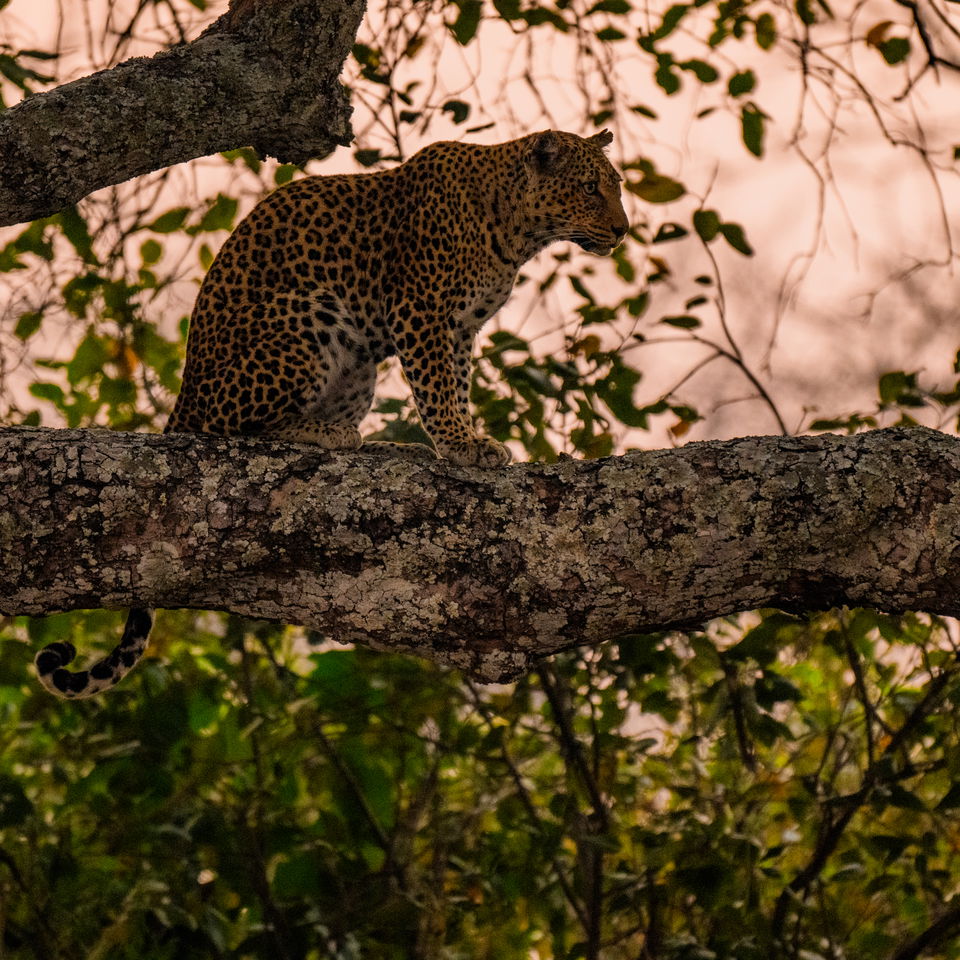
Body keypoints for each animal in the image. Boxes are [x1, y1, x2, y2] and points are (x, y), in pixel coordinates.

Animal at [35, 127, 632, 696]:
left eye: (616, 186)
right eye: (589, 188)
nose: (624, 230)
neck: (516, 229)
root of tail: (188, 389)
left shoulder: (460, 329)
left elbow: (454, 385)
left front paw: (459, 440)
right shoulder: (421, 311)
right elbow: (437, 388)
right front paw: (464, 445)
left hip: (358, 367)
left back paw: (382, 444)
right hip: (307, 315)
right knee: (239, 429)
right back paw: (330, 434)